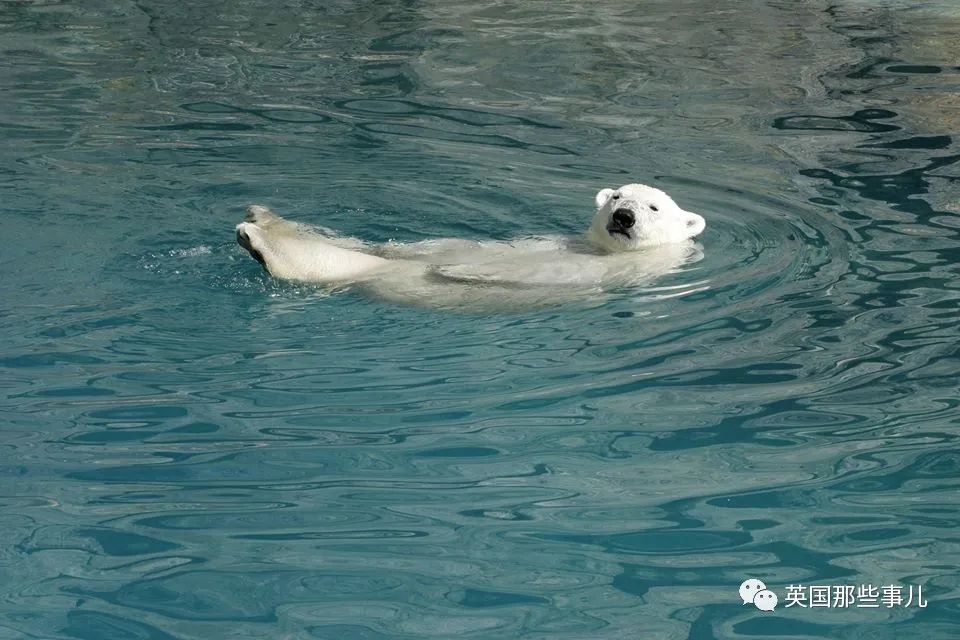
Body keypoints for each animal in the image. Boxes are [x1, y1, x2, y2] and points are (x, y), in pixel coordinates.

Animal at [235, 183, 706, 310]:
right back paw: (261, 219)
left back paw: (259, 240)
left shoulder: (619, 271)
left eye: (653, 206)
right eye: (616, 196)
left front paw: (461, 271)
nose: (623, 216)